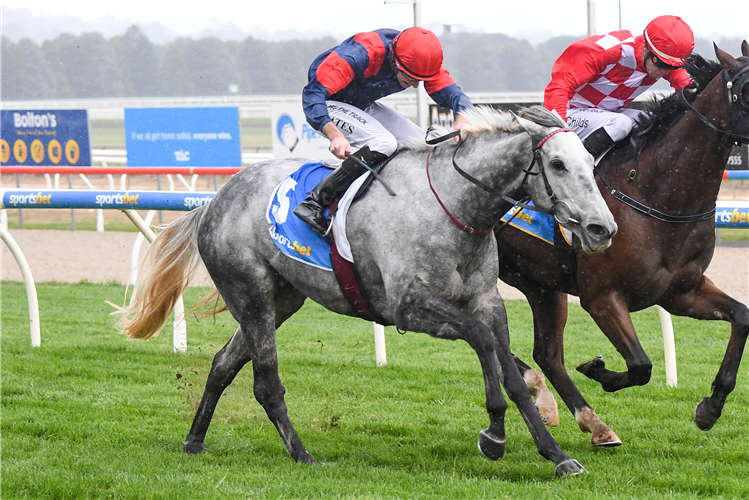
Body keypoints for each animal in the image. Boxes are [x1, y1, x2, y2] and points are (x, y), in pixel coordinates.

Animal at [112, 105, 612, 476]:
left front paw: (557, 454)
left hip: (282, 298)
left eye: (590, 164)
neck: (454, 206)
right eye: (557, 164)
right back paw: (303, 454)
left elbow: (511, 373)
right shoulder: (410, 307)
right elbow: (483, 341)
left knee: (221, 364)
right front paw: (494, 435)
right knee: (265, 381)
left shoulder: (486, 301)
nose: (602, 228)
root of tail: (214, 201)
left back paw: (195, 440)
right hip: (249, 293)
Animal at [496, 41, 748, 446]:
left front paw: (710, 408)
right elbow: (641, 365)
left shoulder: (681, 291)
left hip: (539, 283)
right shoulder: (601, 294)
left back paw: (584, 419)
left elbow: (742, 316)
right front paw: (597, 369)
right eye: (748, 88)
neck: (655, 193)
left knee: (546, 354)